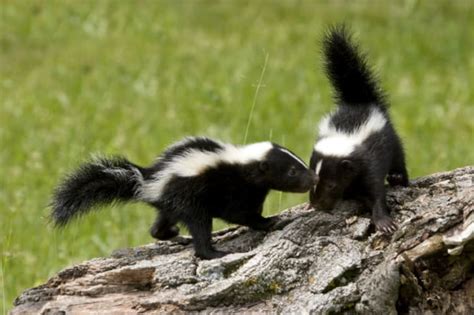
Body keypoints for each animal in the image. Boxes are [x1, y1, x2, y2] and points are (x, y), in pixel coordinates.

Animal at [51, 137, 318, 260]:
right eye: (292, 172)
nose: (314, 178)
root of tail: (148, 181)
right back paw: (212, 252)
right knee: (199, 227)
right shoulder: (231, 188)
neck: (242, 163)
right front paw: (269, 222)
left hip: (172, 204)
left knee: (158, 226)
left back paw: (175, 236)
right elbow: (238, 213)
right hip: (187, 198)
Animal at [310, 26, 410, 235]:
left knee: (400, 158)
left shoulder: (369, 161)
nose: (317, 205)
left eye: (331, 185)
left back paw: (398, 178)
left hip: (391, 138)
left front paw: (384, 222)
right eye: (314, 180)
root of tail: (359, 99)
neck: (345, 136)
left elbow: (376, 190)